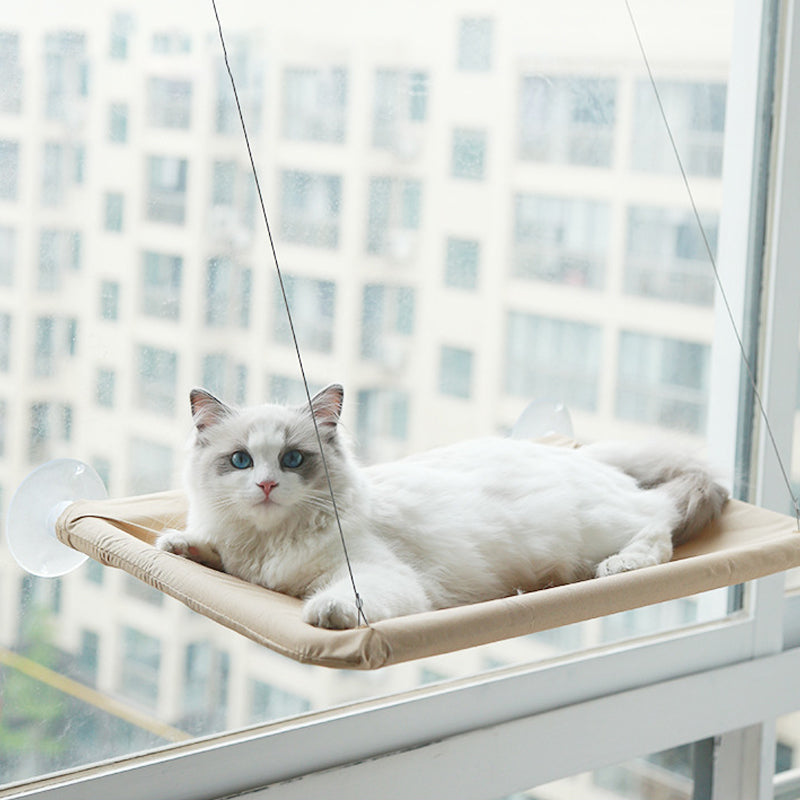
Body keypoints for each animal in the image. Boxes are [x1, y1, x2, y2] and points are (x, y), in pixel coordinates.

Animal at [153, 384, 728, 628]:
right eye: (242, 461)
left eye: (293, 459)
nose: (269, 485)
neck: (268, 545)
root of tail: (580, 456)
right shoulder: (239, 559)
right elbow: (210, 550)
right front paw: (177, 545)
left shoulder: (377, 575)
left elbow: (345, 599)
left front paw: (326, 613)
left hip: (600, 528)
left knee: (658, 526)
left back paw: (620, 566)